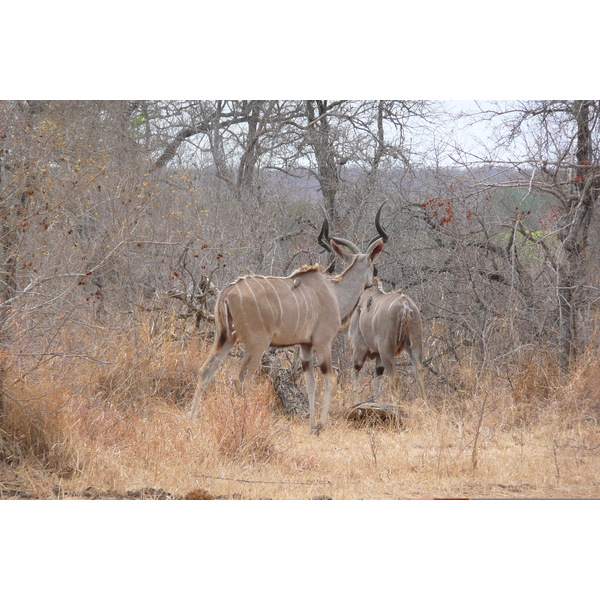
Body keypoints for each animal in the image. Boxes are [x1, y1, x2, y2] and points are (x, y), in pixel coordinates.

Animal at [191, 205, 390, 432]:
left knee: (205, 371)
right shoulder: (323, 342)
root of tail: (227, 291)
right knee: (240, 379)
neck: (335, 292)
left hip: (226, 337)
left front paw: (311, 425)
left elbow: (310, 382)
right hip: (256, 343)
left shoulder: (305, 345)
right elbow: (330, 378)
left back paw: (192, 418)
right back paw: (242, 421)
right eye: (373, 265)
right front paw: (320, 424)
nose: (375, 279)